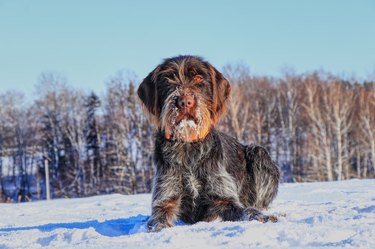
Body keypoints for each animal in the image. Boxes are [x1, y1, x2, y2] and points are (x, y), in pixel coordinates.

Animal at [137, 55, 280, 231]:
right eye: (168, 80)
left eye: (199, 78)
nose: (184, 102)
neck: (188, 145)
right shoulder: (165, 199)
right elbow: (158, 221)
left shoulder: (223, 198)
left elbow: (248, 211)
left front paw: (265, 218)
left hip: (259, 152)